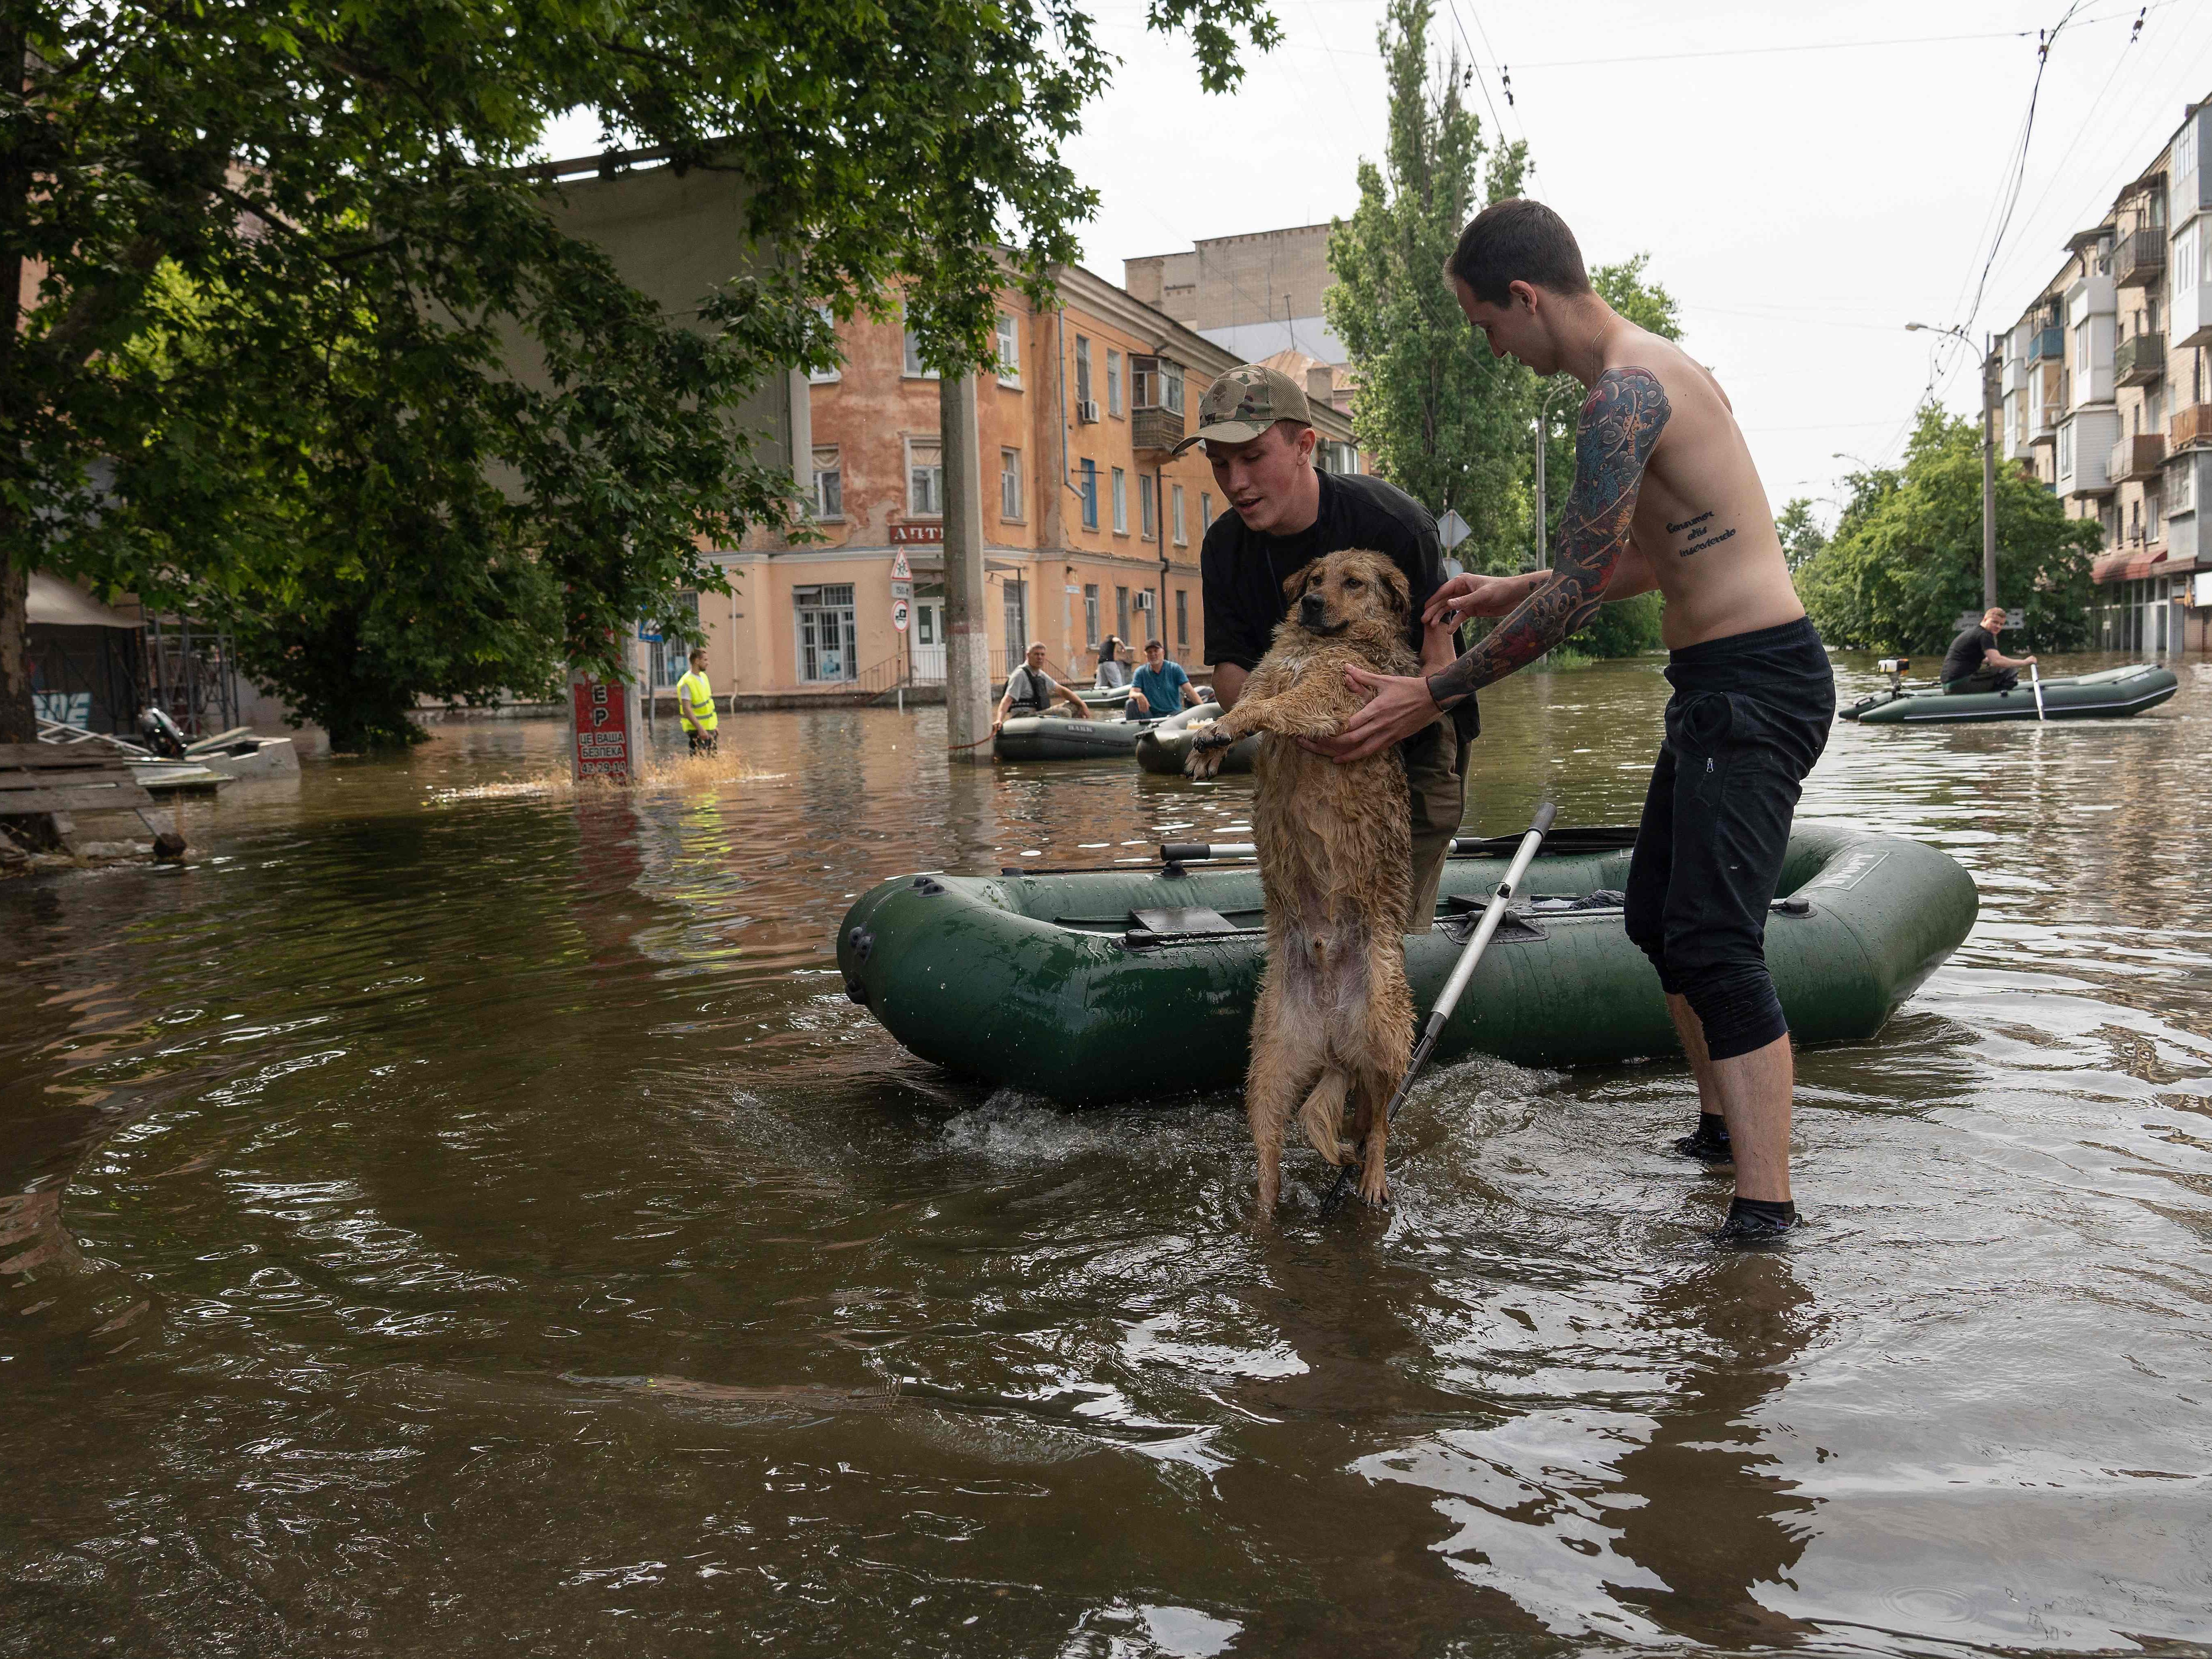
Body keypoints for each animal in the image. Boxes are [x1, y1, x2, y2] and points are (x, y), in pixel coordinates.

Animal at [1194, 553, 1416, 1212]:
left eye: (1354, 582)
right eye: (1315, 578)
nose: (1311, 603)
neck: (1317, 643)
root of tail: (1332, 1034)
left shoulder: (1325, 695)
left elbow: (1272, 709)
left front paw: (1224, 732)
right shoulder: (1266, 676)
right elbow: (1243, 703)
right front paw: (1209, 741)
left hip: (1387, 1031)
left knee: (1378, 1122)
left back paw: (1371, 1177)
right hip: (1269, 1065)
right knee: (1272, 1145)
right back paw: (1265, 1209)